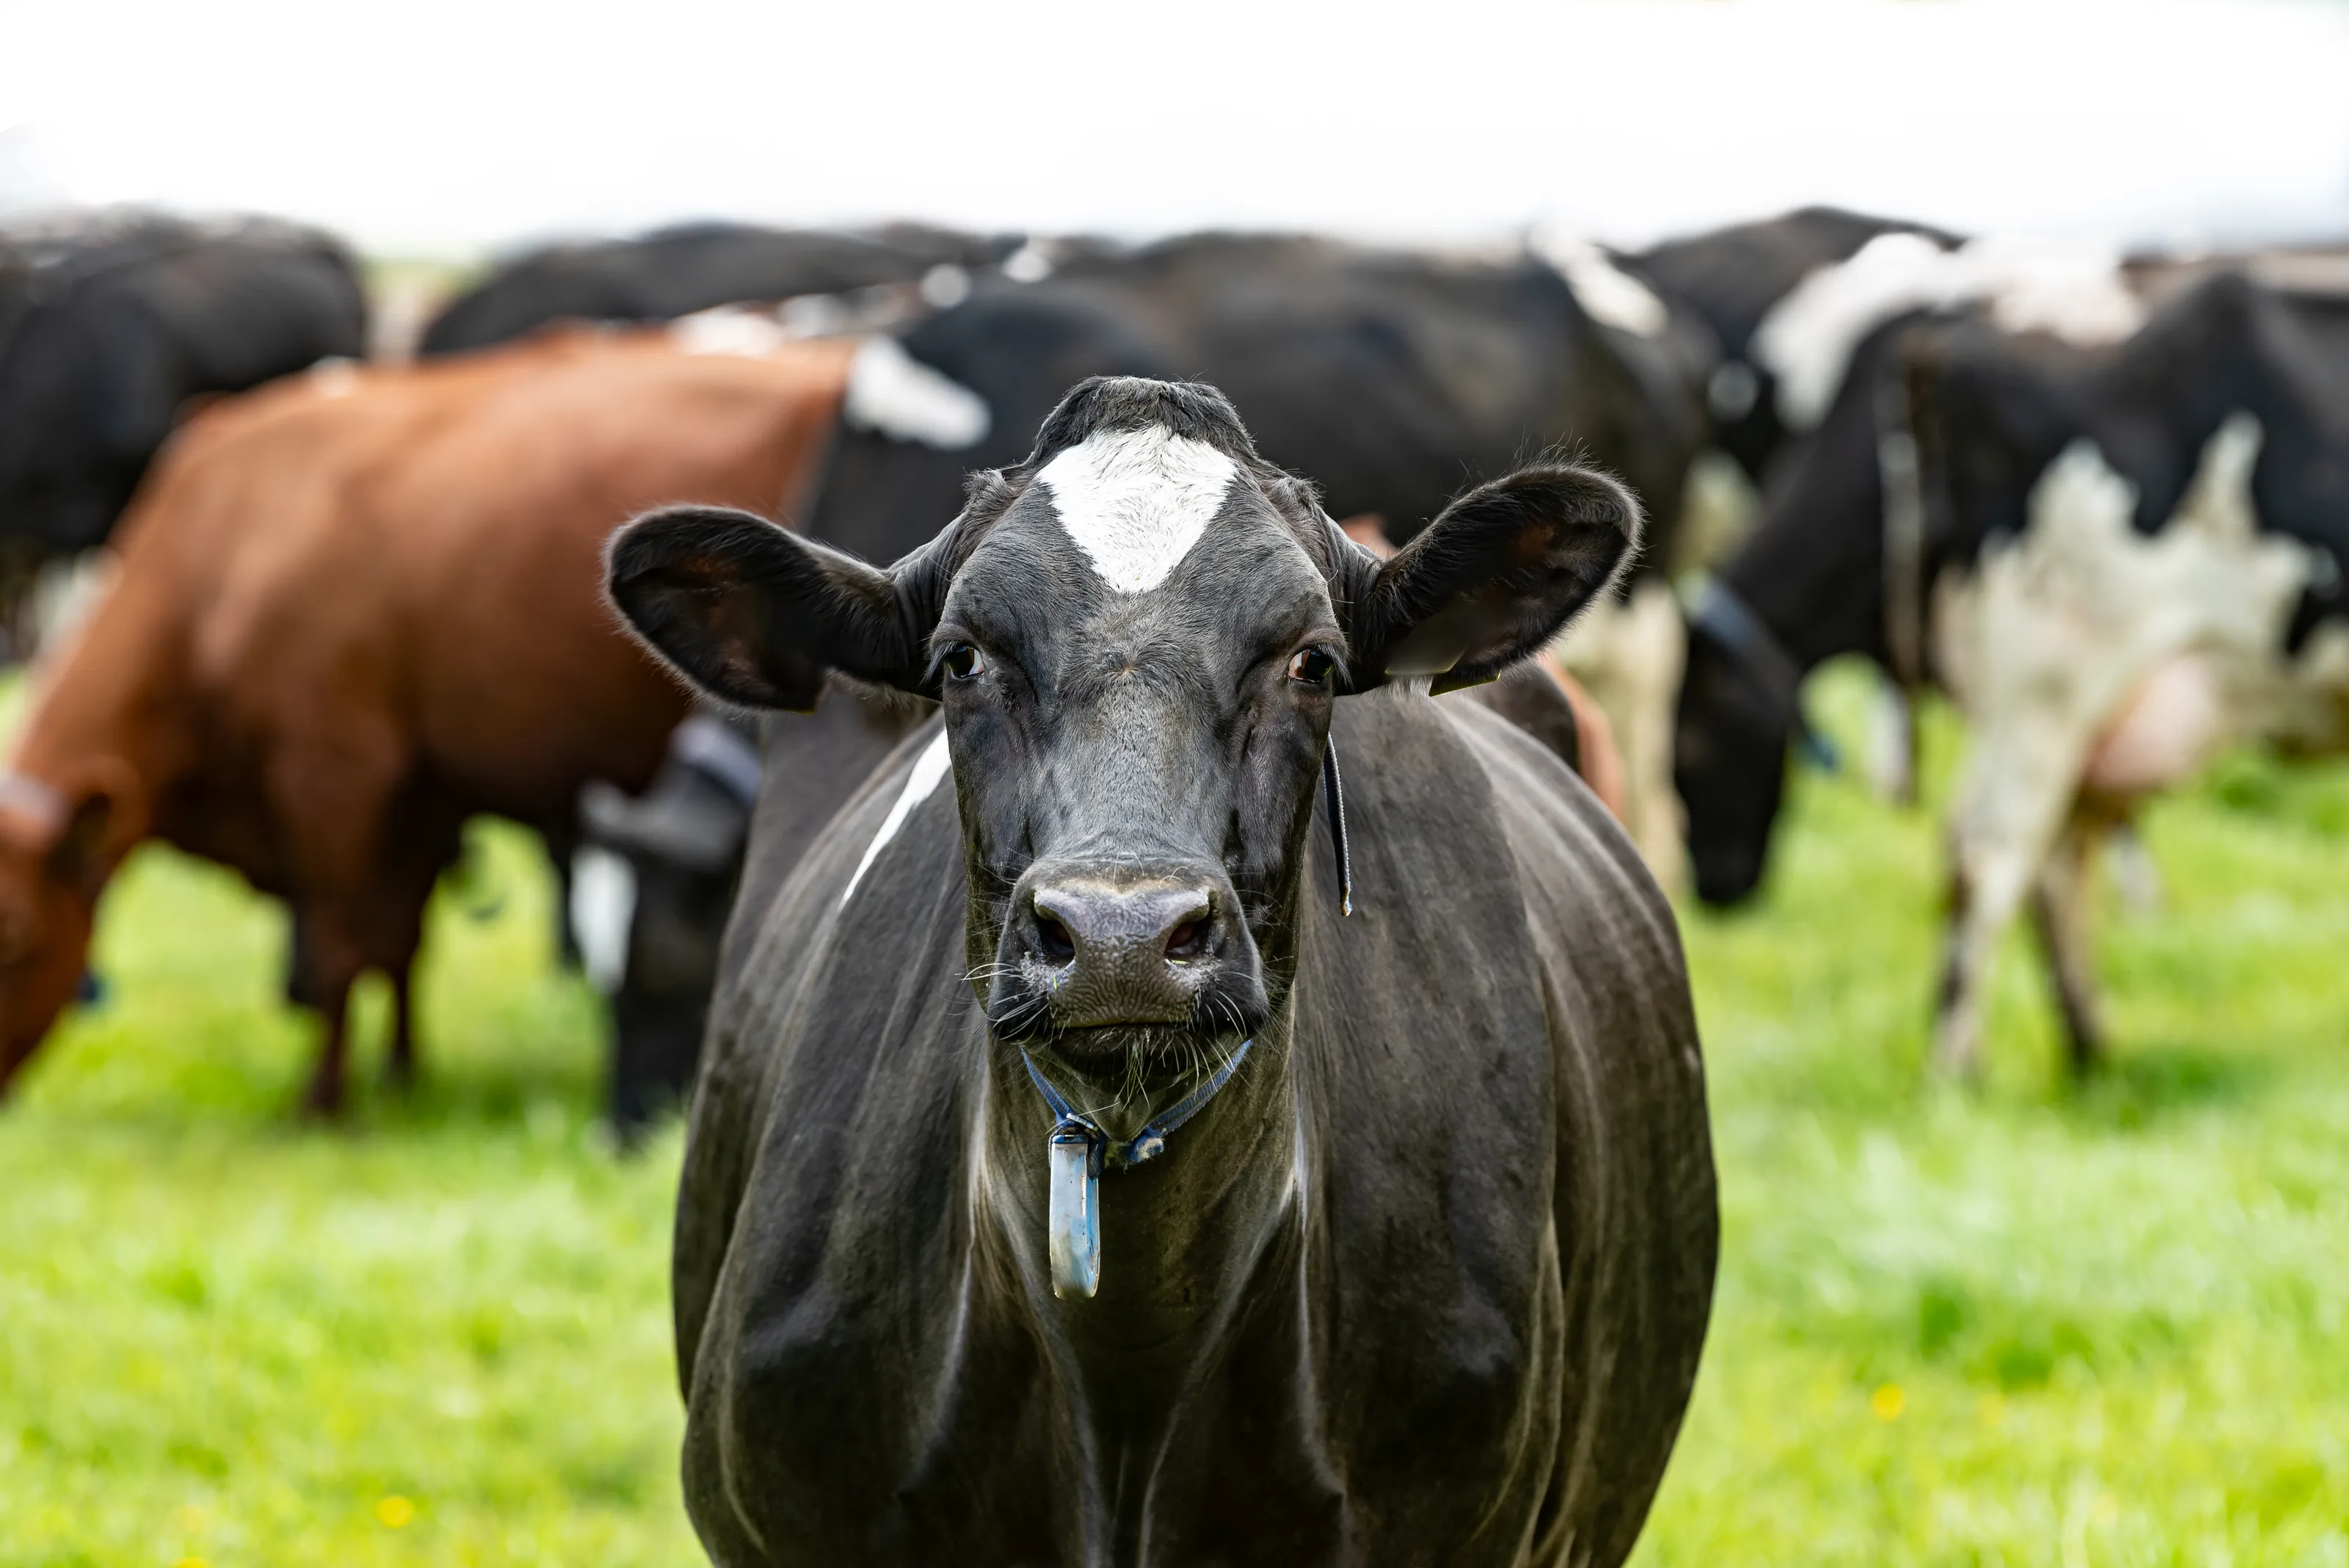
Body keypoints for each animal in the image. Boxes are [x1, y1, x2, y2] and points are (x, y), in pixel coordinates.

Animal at [0, 328, 854, 1113]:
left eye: (15, 940)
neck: (227, 549)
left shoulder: (334, 774)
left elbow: (341, 948)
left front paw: (324, 1102)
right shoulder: (419, 795)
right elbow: (400, 943)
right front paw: (402, 1075)